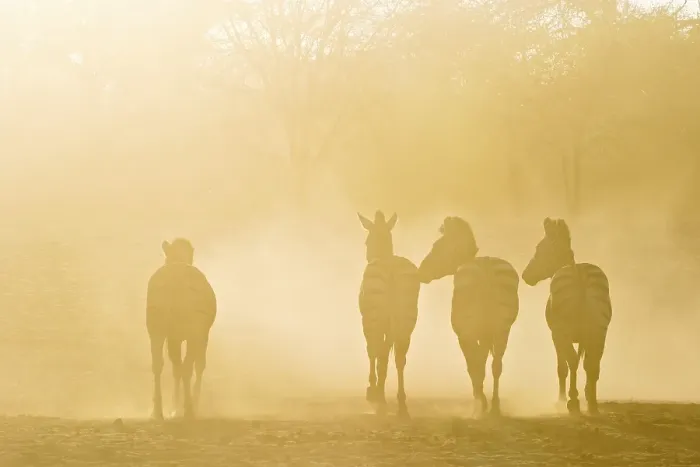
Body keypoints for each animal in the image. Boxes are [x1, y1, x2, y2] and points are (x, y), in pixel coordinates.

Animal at [146, 238, 217, 420]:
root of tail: (175, 283)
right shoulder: (202, 334)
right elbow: (198, 366)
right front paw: (188, 406)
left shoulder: (174, 337)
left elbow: (175, 367)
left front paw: (174, 408)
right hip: (193, 331)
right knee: (188, 367)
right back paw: (190, 409)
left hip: (156, 329)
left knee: (158, 365)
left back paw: (157, 411)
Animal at [358, 210, 420, 418]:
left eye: (366, 242)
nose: (368, 255)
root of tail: (392, 267)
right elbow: (384, 356)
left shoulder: (367, 321)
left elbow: (373, 352)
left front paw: (373, 391)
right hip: (406, 321)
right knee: (400, 359)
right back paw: (401, 404)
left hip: (376, 319)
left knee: (378, 350)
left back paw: (380, 398)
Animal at [418, 216, 519, 417]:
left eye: (437, 247)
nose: (419, 272)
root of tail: (487, 267)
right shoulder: (486, 334)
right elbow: (481, 363)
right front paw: (483, 401)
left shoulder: (463, 334)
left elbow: (472, 365)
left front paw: (479, 402)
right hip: (503, 329)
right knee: (497, 366)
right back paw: (495, 407)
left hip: (473, 330)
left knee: (478, 365)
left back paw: (483, 405)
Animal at [521, 217, 612, 415]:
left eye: (539, 248)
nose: (525, 276)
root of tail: (581, 274)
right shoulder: (583, 336)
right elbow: (584, 364)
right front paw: (586, 393)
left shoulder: (556, 335)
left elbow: (562, 367)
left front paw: (562, 399)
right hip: (600, 330)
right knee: (593, 364)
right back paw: (592, 404)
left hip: (563, 331)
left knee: (572, 362)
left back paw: (573, 402)